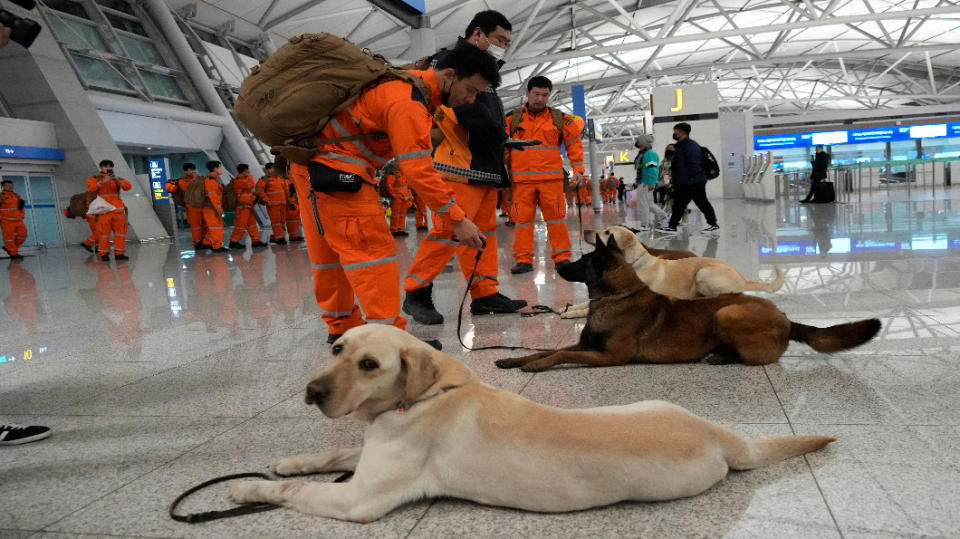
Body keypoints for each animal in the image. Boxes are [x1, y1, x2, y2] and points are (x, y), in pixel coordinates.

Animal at [498, 236, 880, 376]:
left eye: (581, 260)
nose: (559, 264)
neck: (616, 297)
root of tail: (786, 319)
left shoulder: (608, 356)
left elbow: (560, 353)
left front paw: (536, 366)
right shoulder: (587, 345)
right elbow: (544, 350)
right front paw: (513, 359)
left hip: (726, 311)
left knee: (751, 357)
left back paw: (721, 356)